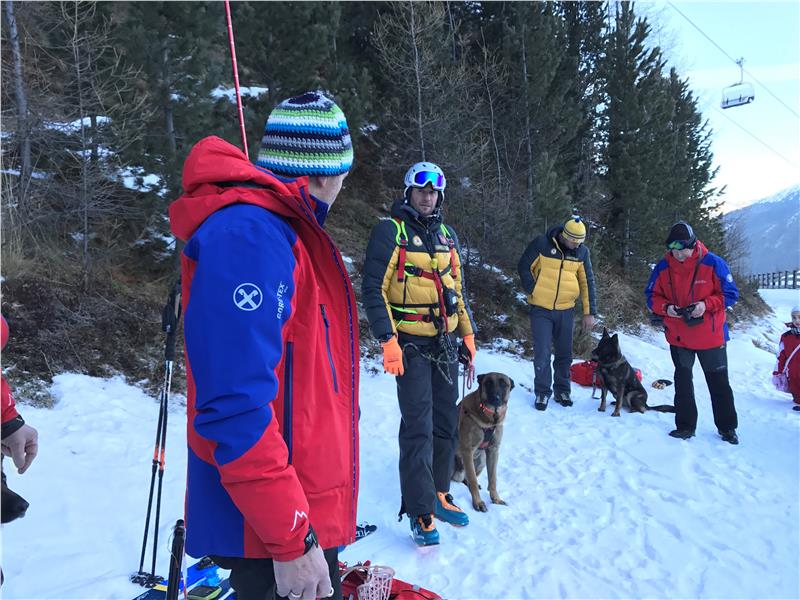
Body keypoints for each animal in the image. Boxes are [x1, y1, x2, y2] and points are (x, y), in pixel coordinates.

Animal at [452, 372, 514, 512]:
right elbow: (473, 480)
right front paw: (478, 502)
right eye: (488, 382)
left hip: (482, 460)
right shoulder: (468, 451)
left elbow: (493, 479)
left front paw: (496, 499)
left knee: (466, 479)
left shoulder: (493, 451)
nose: (496, 398)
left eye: (504, 384)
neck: (490, 419)